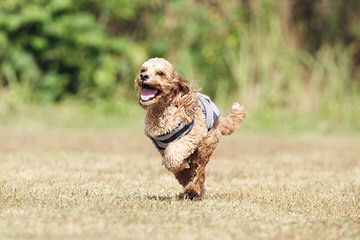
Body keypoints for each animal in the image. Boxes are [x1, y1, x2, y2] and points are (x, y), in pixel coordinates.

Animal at [134, 57, 246, 200]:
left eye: (160, 73)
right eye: (143, 70)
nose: (143, 76)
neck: (162, 111)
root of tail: (220, 118)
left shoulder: (192, 135)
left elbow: (173, 156)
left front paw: (180, 165)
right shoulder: (160, 145)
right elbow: (177, 168)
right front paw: (182, 168)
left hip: (206, 145)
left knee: (200, 171)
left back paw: (193, 189)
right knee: (191, 172)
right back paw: (192, 191)